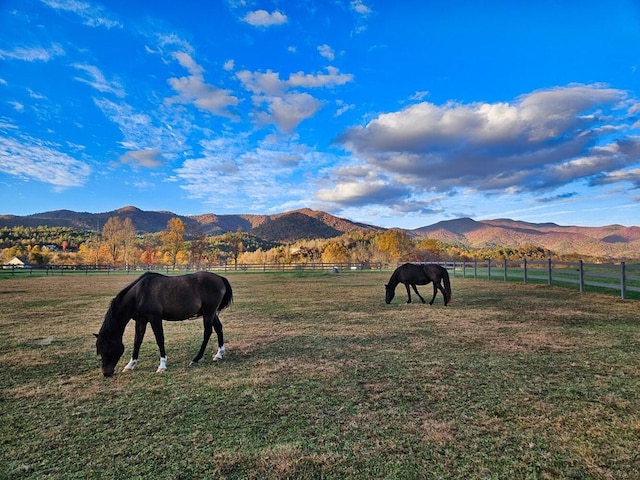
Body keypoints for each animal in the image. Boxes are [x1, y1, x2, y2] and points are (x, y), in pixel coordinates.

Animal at [95, 272, 232, 376]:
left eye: (107, 349)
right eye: (100, 350)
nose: (106, 373)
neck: (139, 294)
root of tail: (219, 278)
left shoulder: (155, 319)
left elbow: (159, 339)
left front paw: (162, 365)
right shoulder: (141, 320)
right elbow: (137, 341)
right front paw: (130, 365)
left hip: (209, 312)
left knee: (207, 332)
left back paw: (196, 359)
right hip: (211, 313)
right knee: (218, 328)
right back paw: (219, 354)